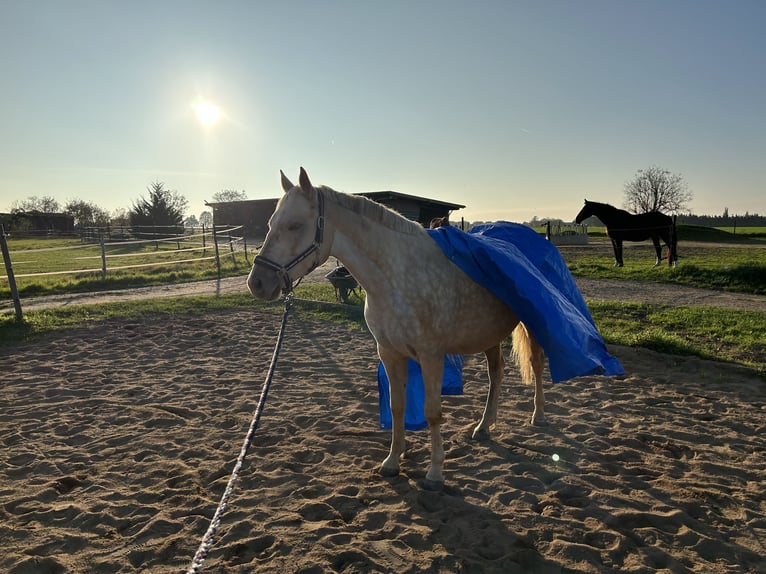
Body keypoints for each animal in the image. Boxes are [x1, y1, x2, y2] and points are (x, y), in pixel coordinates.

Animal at [247, 168, 546, 490]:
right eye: (270, 224)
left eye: (295, 225)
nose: (257, 282)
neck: (395, 279)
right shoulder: (389, 353)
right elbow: (397, 406)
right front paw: (392, 461)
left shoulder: (431, 356)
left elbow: (432, 412)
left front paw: (435, 473)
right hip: (489, 334)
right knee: (496, 374)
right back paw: (483, 426)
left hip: (533, 325)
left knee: (536, 365)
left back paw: (538, 415)